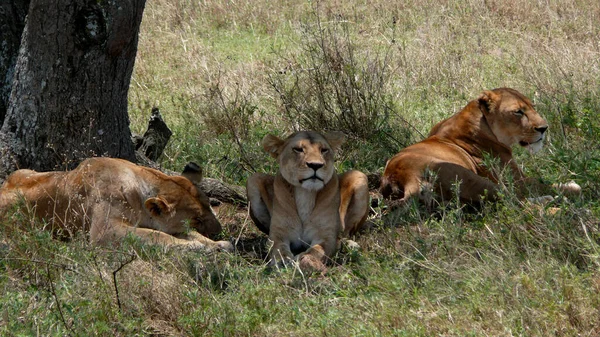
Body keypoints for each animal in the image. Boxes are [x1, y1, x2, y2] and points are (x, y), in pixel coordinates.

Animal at [0, 157, 233, 249]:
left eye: (210, 206)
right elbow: (158, 236)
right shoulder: (104, 231)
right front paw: (198, 246)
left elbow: (184, 234)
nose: (219, 231)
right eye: (197, 219)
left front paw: (219, 245)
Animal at [245, 130, 368, 272]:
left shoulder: (326, 236)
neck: (305, 193)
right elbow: (278, 249)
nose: (315, 165)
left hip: (360, 176)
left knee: (345, 234)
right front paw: (283, 261)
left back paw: (350, 245)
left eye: (324, 150)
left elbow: (317, 250)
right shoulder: (278, 234)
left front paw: (303, 259)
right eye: (298, 149)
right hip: (252, 179)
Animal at [380, 86, 580, 206]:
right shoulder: (518, 180)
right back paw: (552, 199)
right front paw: (571, 186)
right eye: (518, 112)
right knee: (512, 200)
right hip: (469, 177)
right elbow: (546, 183)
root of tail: (402, 176)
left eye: (533, 106)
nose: (544, 128)